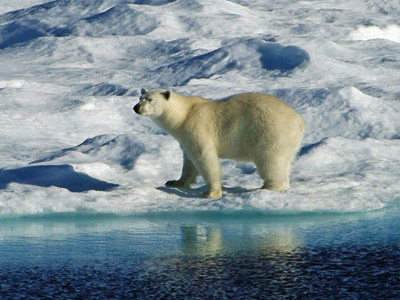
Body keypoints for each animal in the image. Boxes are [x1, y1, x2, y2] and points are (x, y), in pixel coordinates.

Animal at [133, 88, 304, 198]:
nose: (136, 107)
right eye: (140, 98)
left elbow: (204, 157)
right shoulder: (184, 136)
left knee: (269, 159)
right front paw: (175, 182)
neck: (184, 115)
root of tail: (299, 121)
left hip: (270, 131)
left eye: (150, 99)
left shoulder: (197, 126)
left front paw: (211, 193)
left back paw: (268, 187)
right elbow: (189, 161)